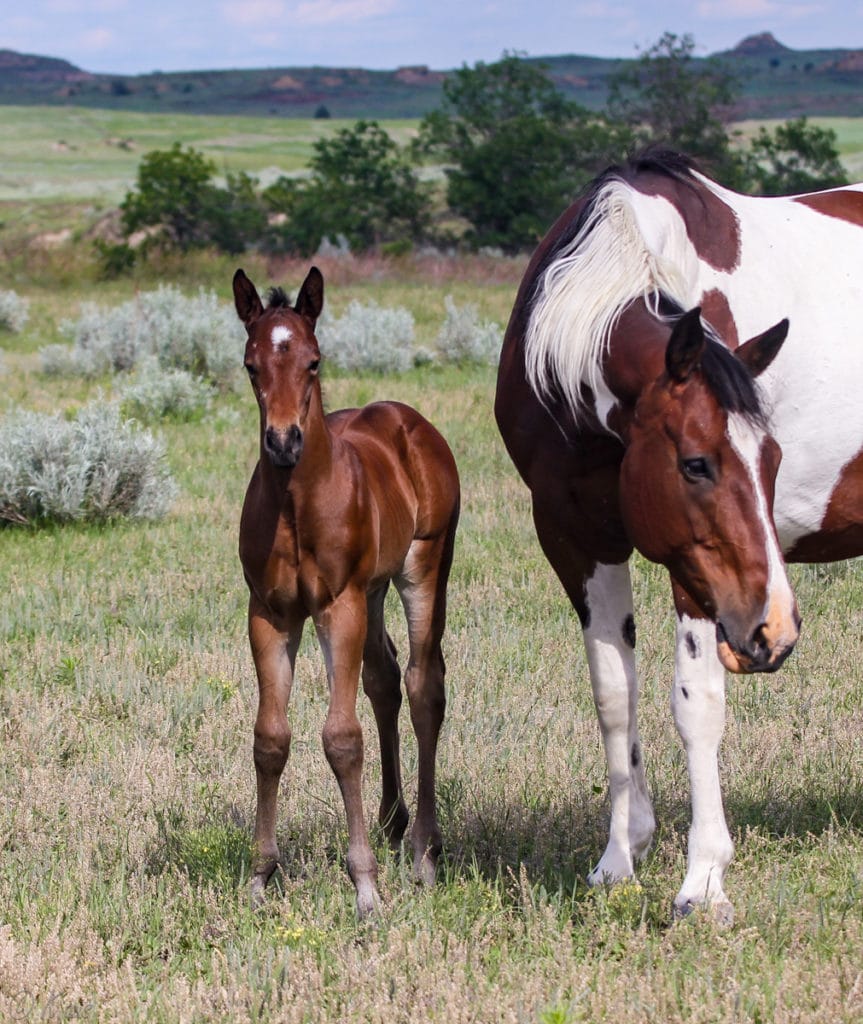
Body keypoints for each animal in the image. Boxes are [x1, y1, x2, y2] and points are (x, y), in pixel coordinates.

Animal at [232, 268, 462, 917]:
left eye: (313, 361)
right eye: (250, 364)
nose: (283, 442)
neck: (296, 506)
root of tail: (411, 422)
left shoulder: (338, 606)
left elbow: (341, 738)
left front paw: (365, 886)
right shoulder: (271, 614)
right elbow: (270, 738)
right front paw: (261, 876)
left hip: (422, 566)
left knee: (423, 685)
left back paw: (423, 850)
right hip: (375, 589)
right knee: (384, 679)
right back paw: (391, 820)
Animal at [499, 151, 863, 929]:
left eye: (773, 461)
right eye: (696, 464)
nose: (775, 629)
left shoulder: (695, 572)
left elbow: (697, 704)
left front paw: (703, 880)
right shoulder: (576, 537)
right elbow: (614, 692)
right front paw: (618, 859)